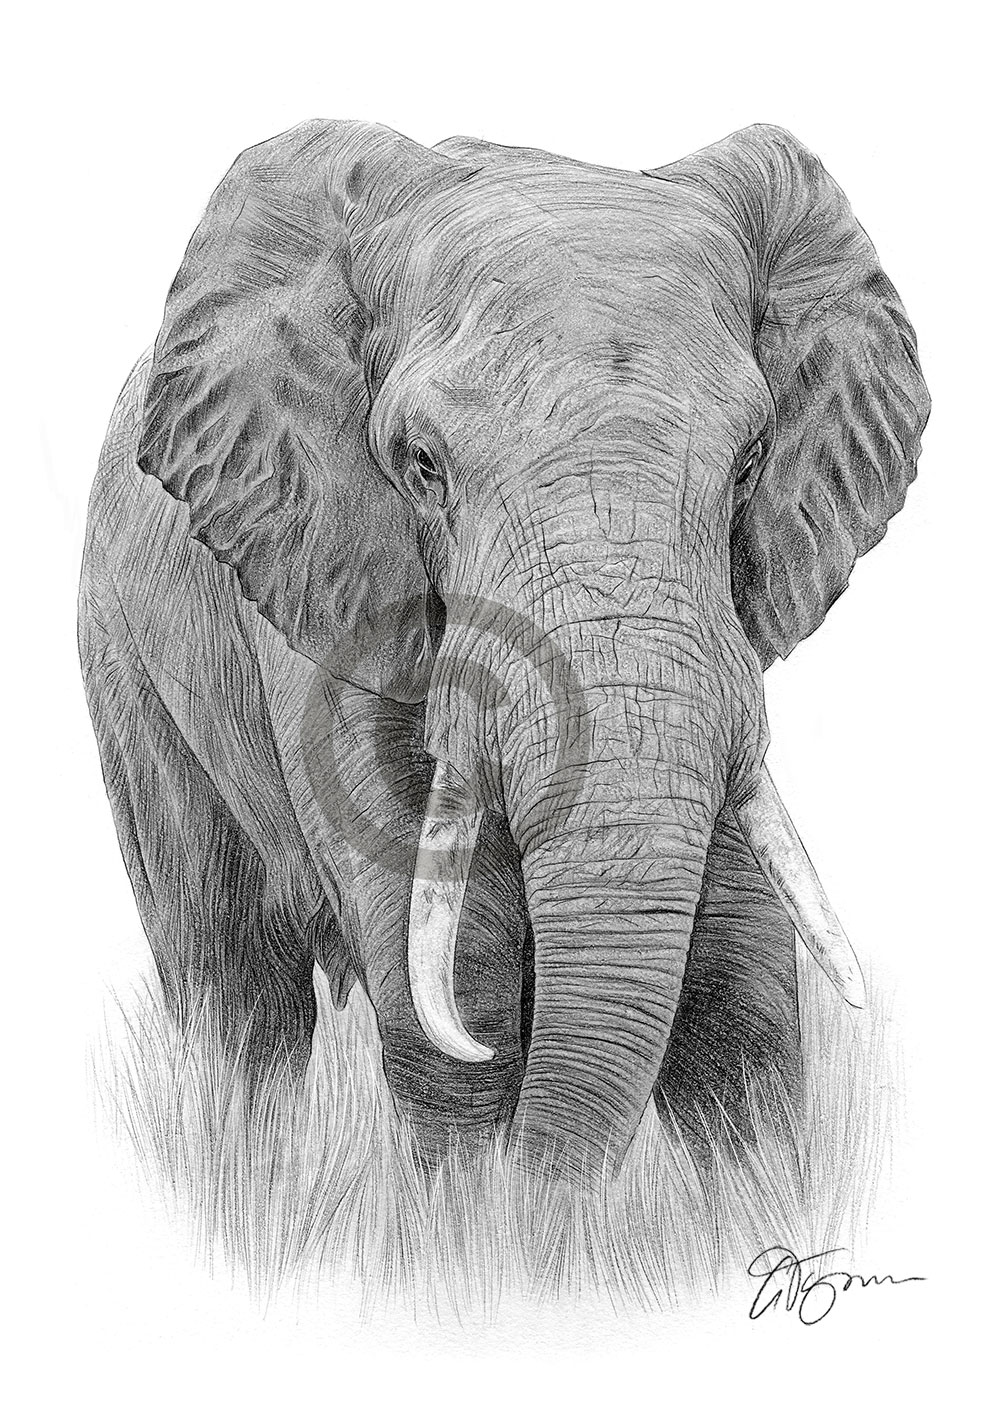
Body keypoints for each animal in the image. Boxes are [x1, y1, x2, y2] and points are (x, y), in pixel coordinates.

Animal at [78, 119, 928, 1181]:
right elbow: (458, 976)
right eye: (421, 467)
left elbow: (741, 978)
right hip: (124, 659)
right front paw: (483, 1208)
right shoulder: (330, 581)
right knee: (233, 989)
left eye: (749, 463)